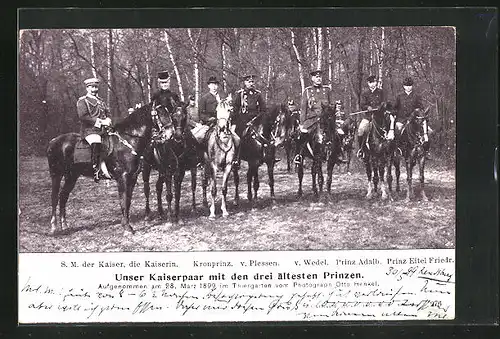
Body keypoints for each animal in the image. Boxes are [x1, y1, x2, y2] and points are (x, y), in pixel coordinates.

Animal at [46, 103, 170, 236]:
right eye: (160, 113)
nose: (170, 133)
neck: (128, 140)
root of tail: (53, 141)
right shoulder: (123, 178)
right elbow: (123, 200)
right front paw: (127, 227)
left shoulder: (132, 178)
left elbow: (128, 201)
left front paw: (127, 225)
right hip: (56, 175)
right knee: (54, 197)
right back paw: (53, 227)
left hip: (71, 176)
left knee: (63, 196)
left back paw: (64, 225)